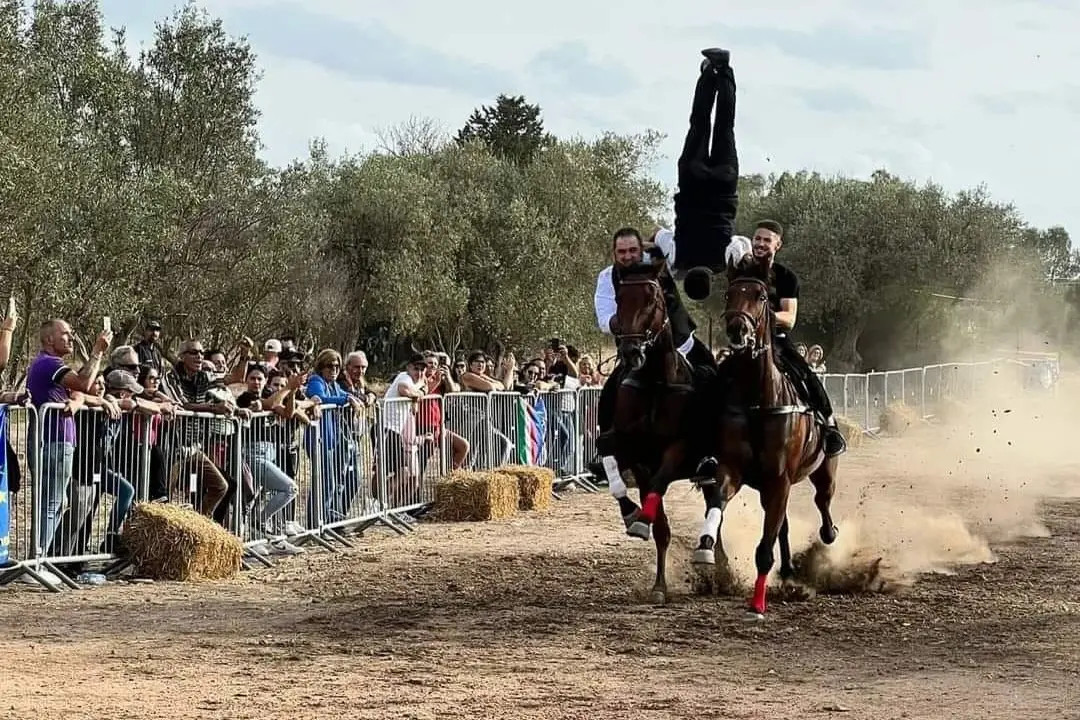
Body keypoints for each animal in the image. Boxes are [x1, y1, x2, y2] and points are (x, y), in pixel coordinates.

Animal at [686, 262, 838, 617]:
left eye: (762, 296)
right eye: (730, 293)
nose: (737, 329)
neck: (758, 399)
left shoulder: (779, 480)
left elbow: (764, 550)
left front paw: (758, 602)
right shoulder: (731, 470)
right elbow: (718, 502)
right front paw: (706, 548)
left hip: (823, 468)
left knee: (822, 500)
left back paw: (827, 536)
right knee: (782, 524)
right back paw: (787, 569)